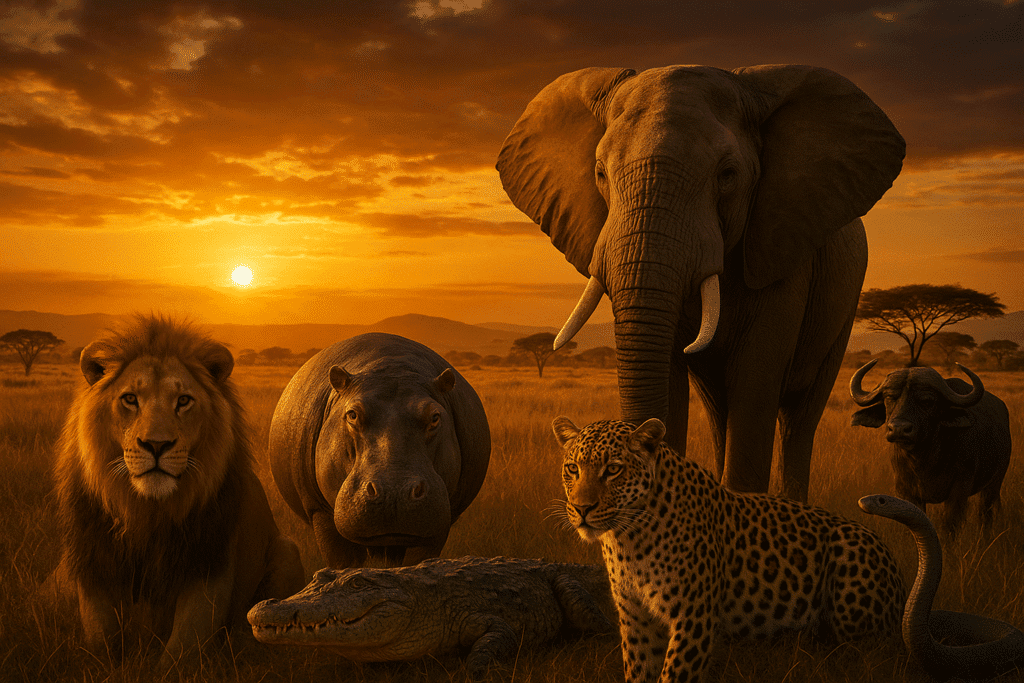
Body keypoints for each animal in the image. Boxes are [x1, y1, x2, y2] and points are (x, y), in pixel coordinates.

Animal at [51, 314, 305, 670]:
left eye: (183, 401)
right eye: (130, 399)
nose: (157, 445)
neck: (147, 511)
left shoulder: (208, 564)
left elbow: (181, 652)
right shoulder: (93, 561)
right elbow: (101, 642)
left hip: (288, 550)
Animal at [497, 64, 905, 501]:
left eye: (728, 176)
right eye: (599, 174)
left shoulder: (783, 246)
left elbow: (756, 380)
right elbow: (671, 378)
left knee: (799, 419)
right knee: (719, 410)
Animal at [850, 360, 1012, 538]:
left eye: (926, 400)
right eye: (889, 398)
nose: (899, 429)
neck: (923, 460)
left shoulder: (960, 490)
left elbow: (950, 524)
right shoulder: (906, 491)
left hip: (994, 482)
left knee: (985, 513)